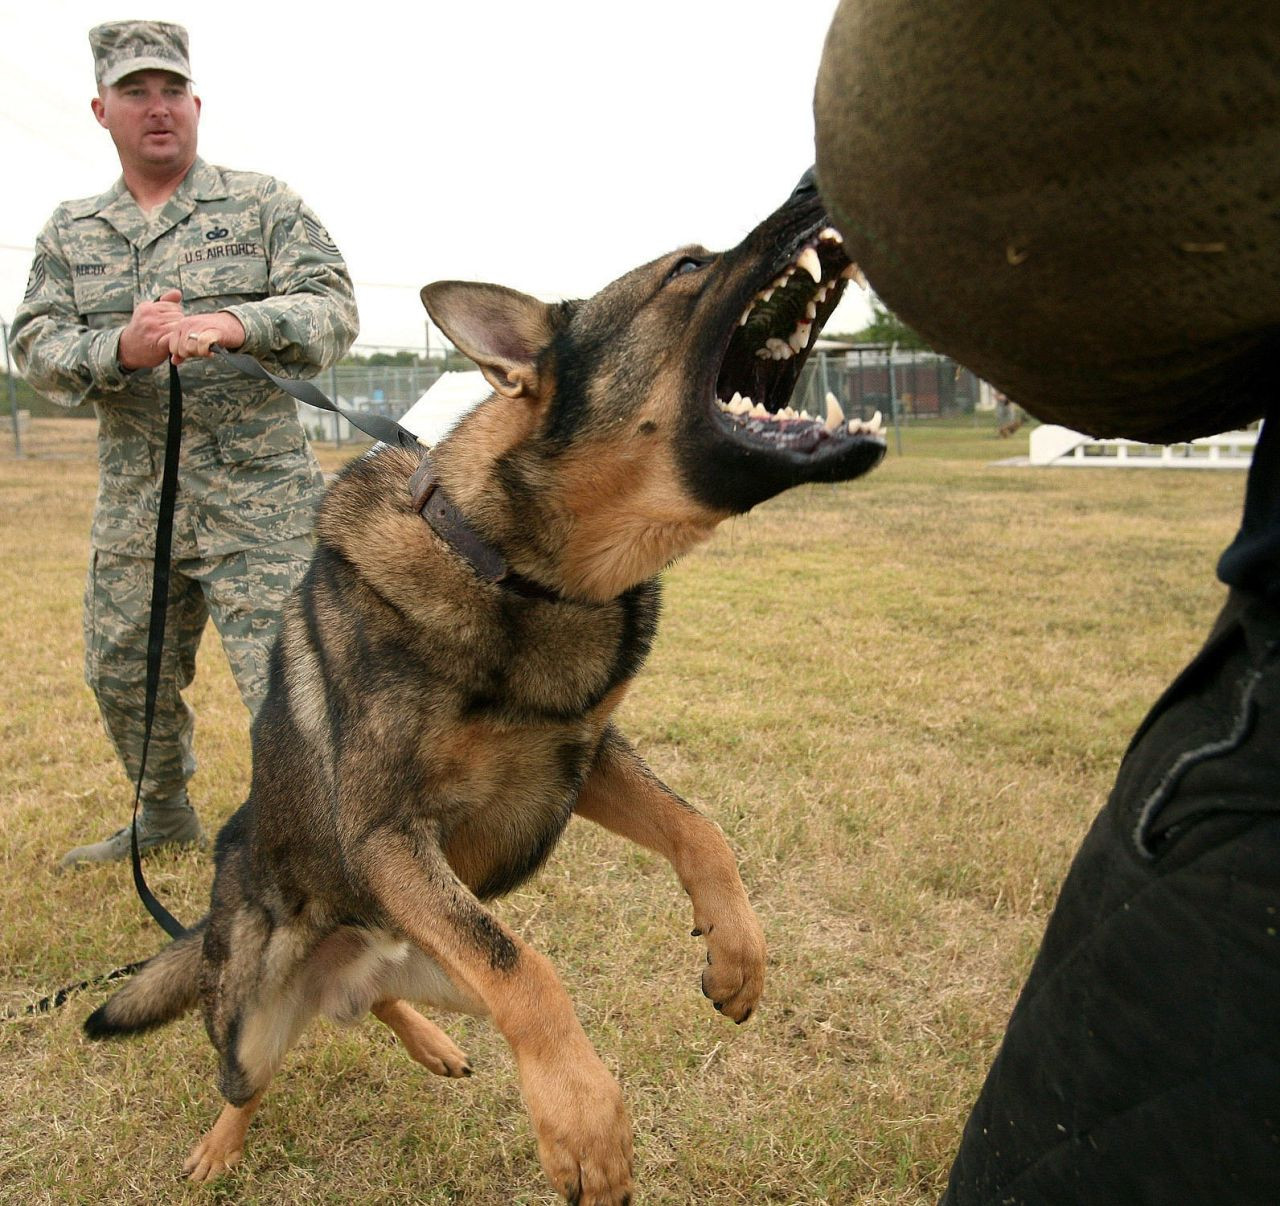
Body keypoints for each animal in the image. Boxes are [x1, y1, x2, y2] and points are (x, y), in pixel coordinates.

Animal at [82, 167, 880, 1198]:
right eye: (687, 269)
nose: (816, 179)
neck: (509, 562)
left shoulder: (583, 755)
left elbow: (698, 829)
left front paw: (737, 956)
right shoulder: (389, 836)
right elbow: (530, 968)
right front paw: (584, 1123)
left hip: (428, 961)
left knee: (380, 1006)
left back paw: (431, 1044)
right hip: (256, 1014)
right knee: (247, 1077)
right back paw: (218, 1148)